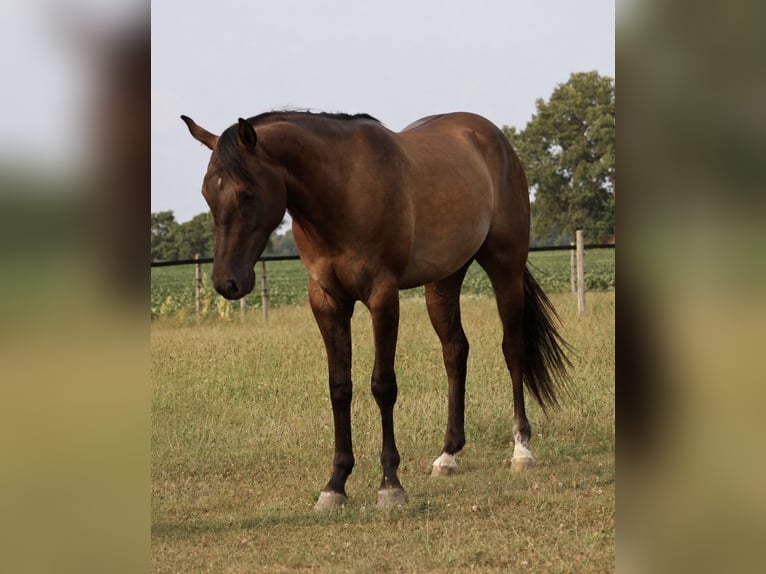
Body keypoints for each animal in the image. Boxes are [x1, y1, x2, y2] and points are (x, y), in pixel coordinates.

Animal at [180, 110, 571, 510]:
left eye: (246, 194)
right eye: (207, 194)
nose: (226, 283)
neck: (341, 190)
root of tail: (493, 136)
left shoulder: (382, 297)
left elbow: (383, 385)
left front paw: (389, 484)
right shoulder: (327, 302)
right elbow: (339, 387)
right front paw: (335, 484)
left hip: (505, 267)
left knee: (513, 350)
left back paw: (521, 450)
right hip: (443, 281)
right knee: (455, 352)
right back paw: (448, 455)